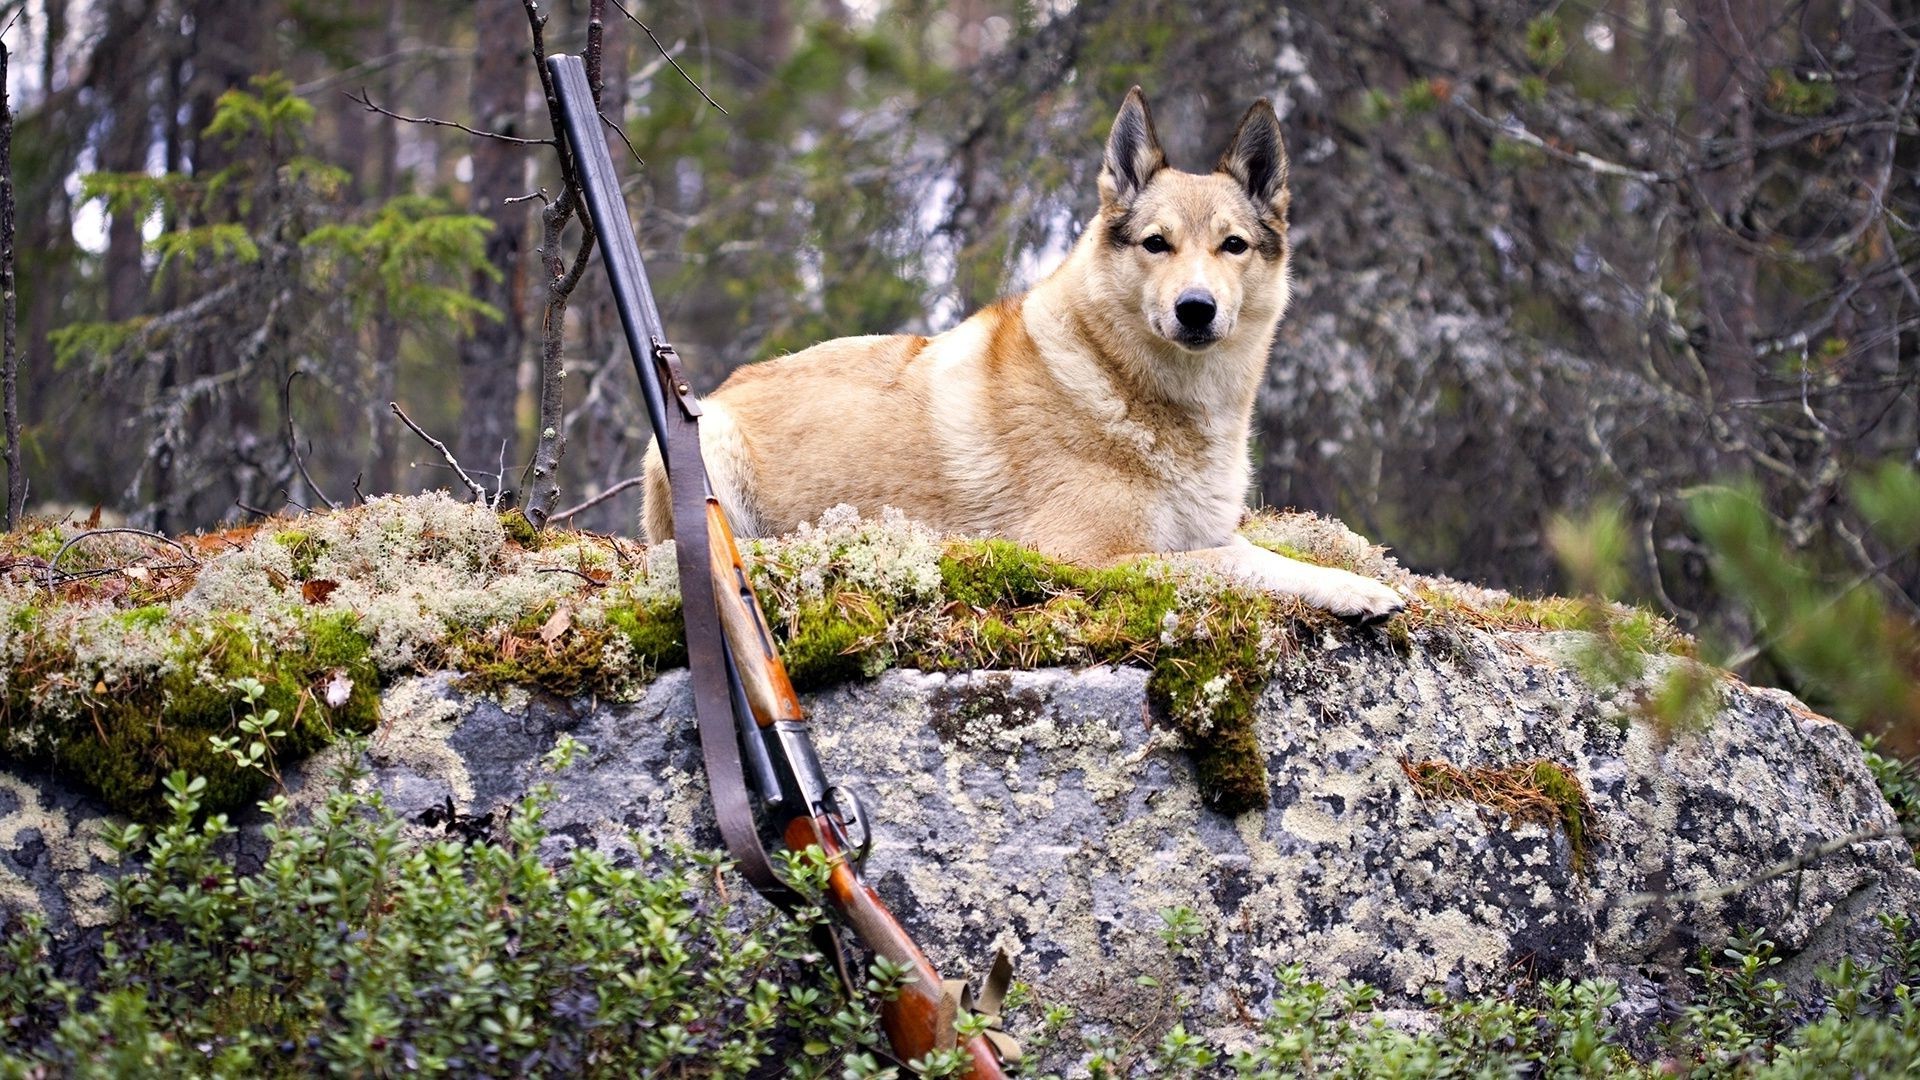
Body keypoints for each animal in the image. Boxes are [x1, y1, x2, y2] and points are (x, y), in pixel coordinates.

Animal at [637, 87, 1405, 622]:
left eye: (1233, 246)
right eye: (1156, 243)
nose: (1196, 308)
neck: (1128, 388)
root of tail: (720, 389)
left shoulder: (1210, 531)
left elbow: (1269, 561)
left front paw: (1354, 587)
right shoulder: (1092, 557)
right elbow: (1222, 568)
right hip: (711, 452)